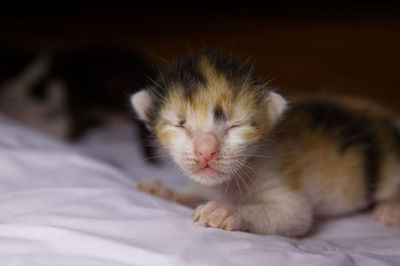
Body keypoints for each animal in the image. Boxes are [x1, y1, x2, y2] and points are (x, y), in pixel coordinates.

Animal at [130, 52, 400, 237]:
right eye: (180, 125)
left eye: (235, 126)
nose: (206, 151)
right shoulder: (206, 184)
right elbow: (195, 193)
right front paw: (166, 191)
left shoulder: (285, 185)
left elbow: (293, 215)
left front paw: (225, 211)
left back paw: (391, 209)